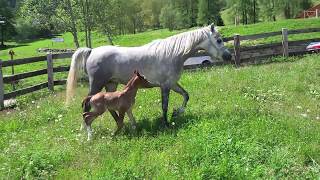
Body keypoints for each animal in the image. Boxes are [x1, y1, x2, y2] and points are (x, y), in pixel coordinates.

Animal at [67, 23, 232, 126]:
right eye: (218, 40)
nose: (229, 56)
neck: (172, 54)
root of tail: (91, 51)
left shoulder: (172, 84)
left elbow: (186, 95)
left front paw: (177, 113)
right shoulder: (165, 86)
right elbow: (164, 106)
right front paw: (166, 123)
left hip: (111, 84)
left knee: (110, 107)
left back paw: (121, 124)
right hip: (96, 84)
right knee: (87, 105)